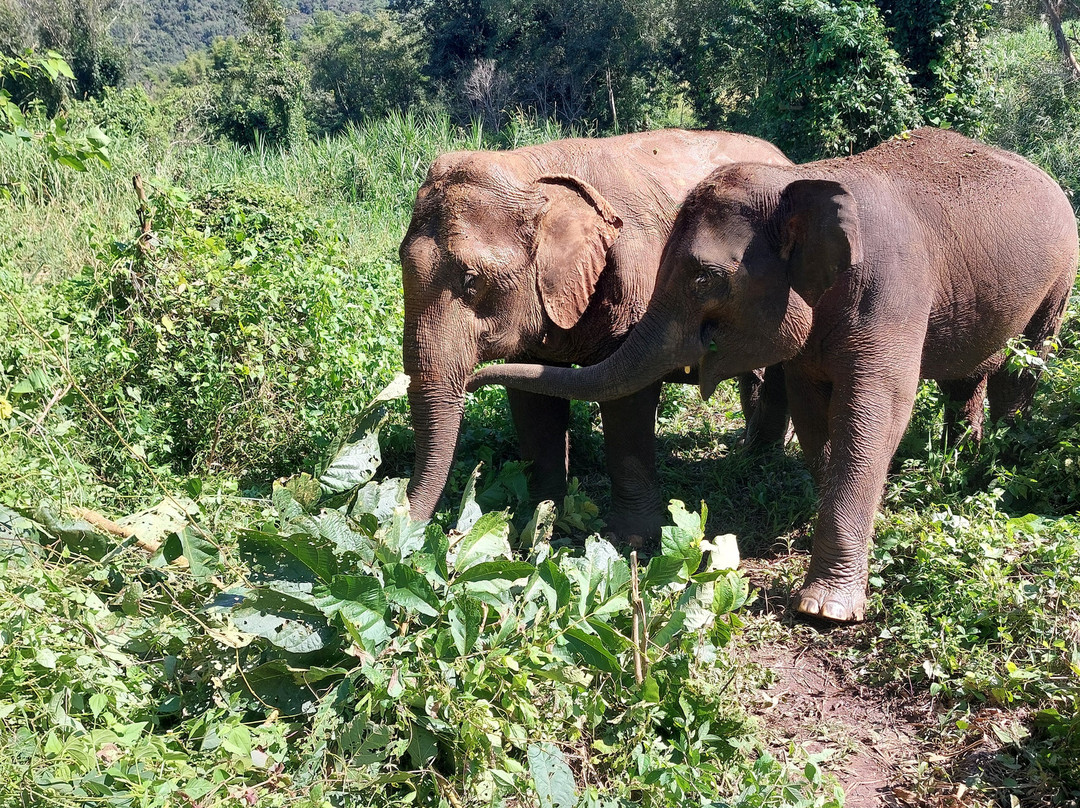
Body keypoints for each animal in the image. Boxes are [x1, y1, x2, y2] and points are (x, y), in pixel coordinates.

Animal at [401, 129, 794, 543]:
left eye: (471, 281)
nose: (400, 533)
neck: (531, 168)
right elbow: (532, 400)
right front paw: (538, 524)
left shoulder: (636, 279)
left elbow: (626, 398)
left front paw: (630, 540)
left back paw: (761, 456)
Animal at [468, 128, 1079, 622]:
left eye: (702, 278)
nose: (474, 379)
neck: (797, 184)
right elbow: (814, 408)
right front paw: (816, 514)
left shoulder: (895, 293)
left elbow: (873, 411)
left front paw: (824, 609)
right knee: (967, 377)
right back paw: (962, 458)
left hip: (1060, 276)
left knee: (1023, 366)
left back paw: (1001, 459)